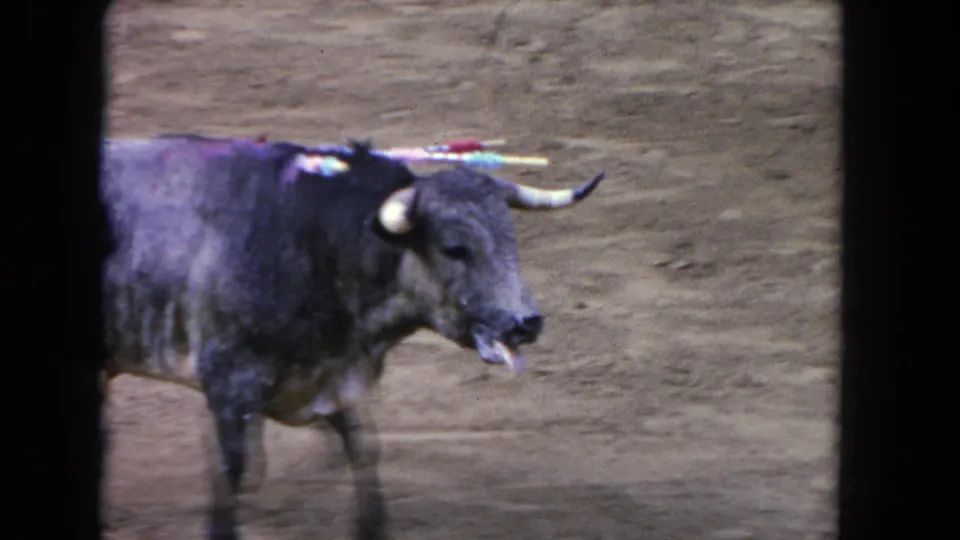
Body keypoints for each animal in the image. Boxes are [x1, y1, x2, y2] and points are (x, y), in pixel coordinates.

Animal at [100, 134, 605, 540]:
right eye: (454, 248)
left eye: (511, 239)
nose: (525, 322)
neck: (313, 238)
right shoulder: (230, 386)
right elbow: (234, 473)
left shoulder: (335, 378)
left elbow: (362, 450)